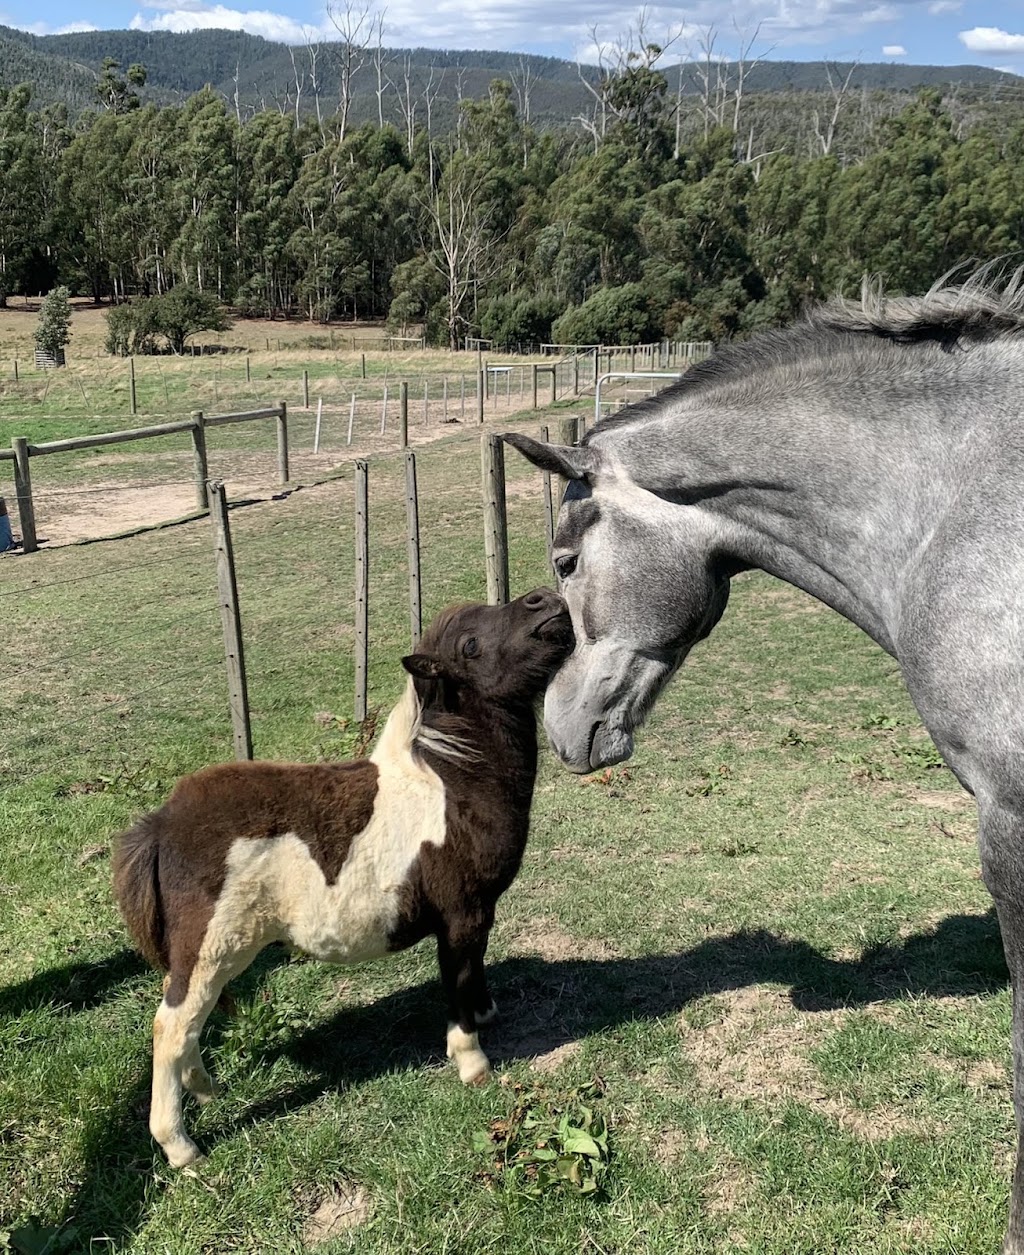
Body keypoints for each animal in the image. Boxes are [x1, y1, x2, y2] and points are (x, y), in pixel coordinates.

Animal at [112, 588, 573, 1168]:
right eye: (470, 645)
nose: (546, 600)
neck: (451, 787)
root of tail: (162, 823)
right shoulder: (462, 916)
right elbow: (458, 980)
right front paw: (472, 1062)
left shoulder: (478, 916)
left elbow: (475, 972)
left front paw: (486, 1012)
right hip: (212, 950)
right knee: (171, 1028)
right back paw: (180, 1146)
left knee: (188, 1022)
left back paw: (207, 1089)